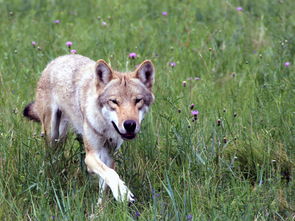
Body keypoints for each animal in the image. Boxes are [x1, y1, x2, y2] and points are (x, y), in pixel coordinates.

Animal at [23, 54, 155, 204]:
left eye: (138, 100)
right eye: (114, 101)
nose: (130, 124)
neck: (106, 128)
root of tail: (58, 58)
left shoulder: (109, 155)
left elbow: (105, 182)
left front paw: (100, 208)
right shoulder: (91, 155)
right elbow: (111, 173)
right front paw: (123, 193)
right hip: (53, 136)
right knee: (49, 159)